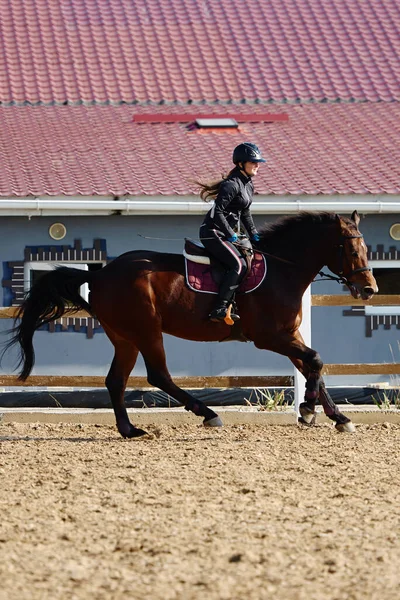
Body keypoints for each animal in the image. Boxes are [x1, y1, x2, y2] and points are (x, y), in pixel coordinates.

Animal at [3, 210, 378, 436]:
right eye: (352, 251)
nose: (370, 289)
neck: (281, 270)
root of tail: (101, 274)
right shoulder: (270, 336)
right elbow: (315, 360)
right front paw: (310, 409)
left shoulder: (289, 334)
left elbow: (314, 367)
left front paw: (332, 415)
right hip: (146, 332)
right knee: (158, 376)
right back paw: (208, 414)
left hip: (125, 338)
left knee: (115, 381)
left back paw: (130, 430)